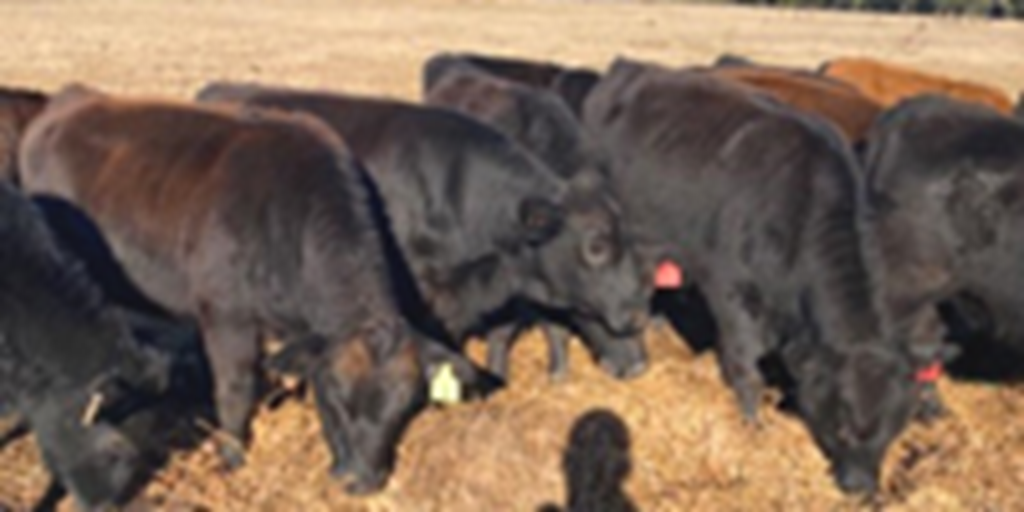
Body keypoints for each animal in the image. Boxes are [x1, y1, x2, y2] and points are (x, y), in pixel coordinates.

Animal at [18, 85, 485, 495]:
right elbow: (236, 389)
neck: (285, 216)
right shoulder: (226, 317)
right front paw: (232, 457)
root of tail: (71, 98)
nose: (365, 482)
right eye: (337, 396)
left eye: (405, 406)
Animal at [583, 59, 936, 494]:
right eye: (844, 425)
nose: (862, 487)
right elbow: (744, 366)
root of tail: (628, 67)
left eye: (893, 431)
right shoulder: (730, 292)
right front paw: (752, 425)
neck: (797, 208)